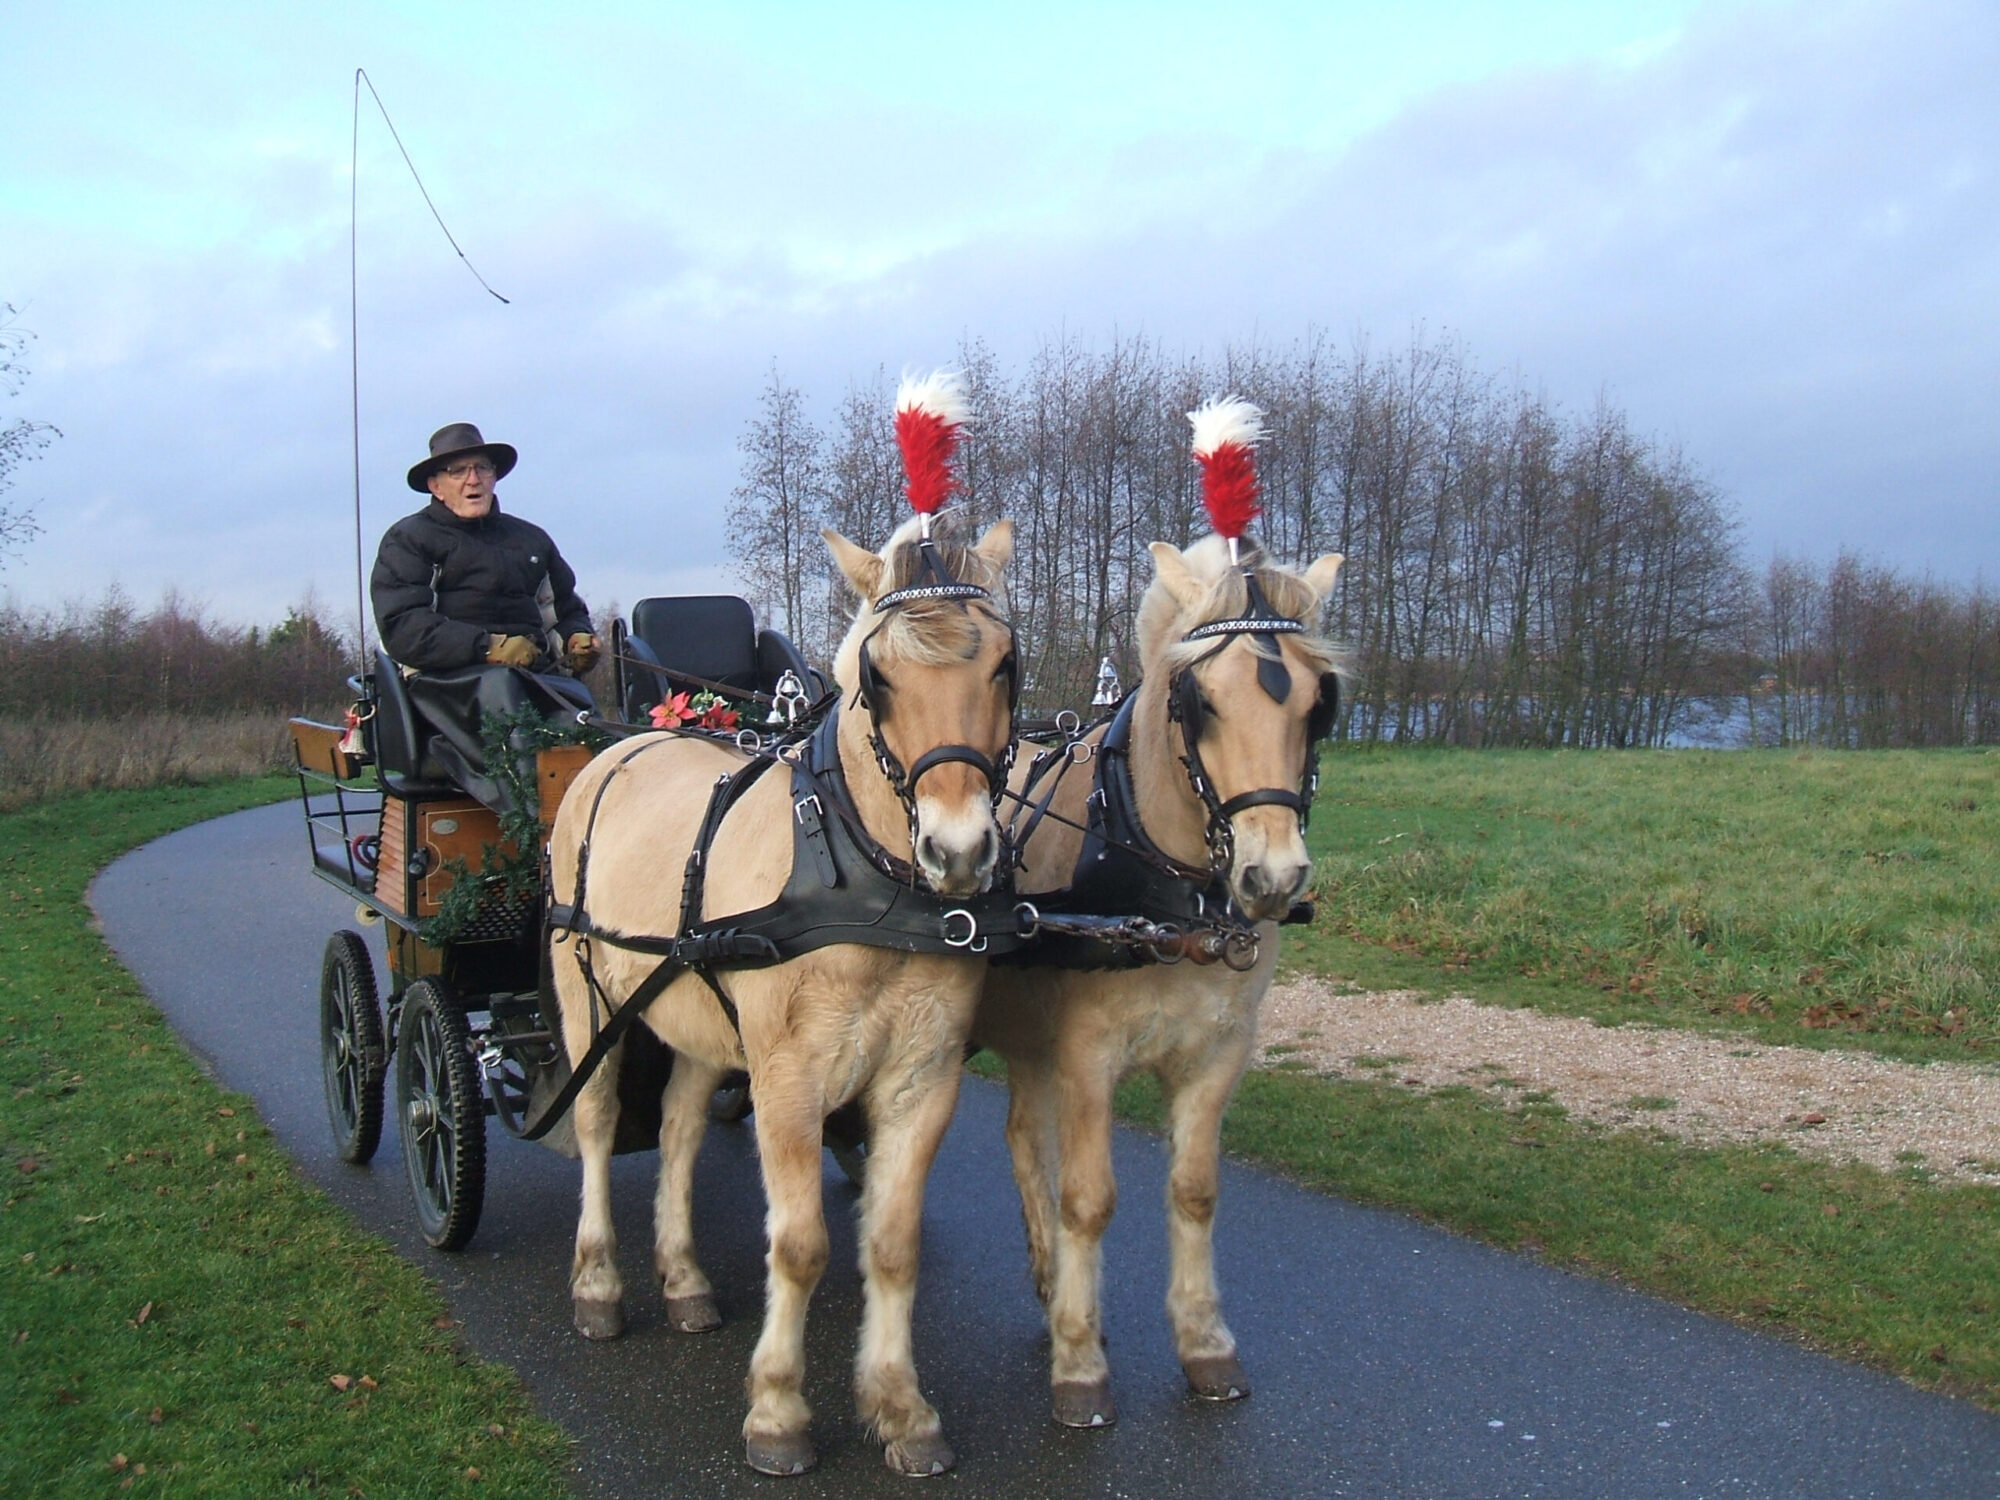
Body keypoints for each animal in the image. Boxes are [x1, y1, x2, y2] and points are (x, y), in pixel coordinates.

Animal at [548, 520, 1016, 1480]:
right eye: (878, 676)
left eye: (1004, 664)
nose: (957, 852)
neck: (869, 885)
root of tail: (619, 744)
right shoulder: (790, 1079)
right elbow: (800, 1246)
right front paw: (777, 1412)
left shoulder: (923, 1079)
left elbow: (893, 1243)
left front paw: (902, 1408)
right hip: (585, 996)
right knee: (598, 1123)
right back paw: (599, 1282)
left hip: (692, 1015)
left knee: (681, 1127)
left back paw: (684, 1277)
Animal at [972, 536, 1344, 1424]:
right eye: (1198, 699)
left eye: (1320, 703)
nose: (1272, 877)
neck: (1170, 896)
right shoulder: (1086, 1056)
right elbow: (1089, 1198)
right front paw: (1079, 1365)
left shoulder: (1218, 1055)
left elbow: (1196, 1190)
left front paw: (1205, 1343)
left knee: (1021, 1139)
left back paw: (1049, 1284)